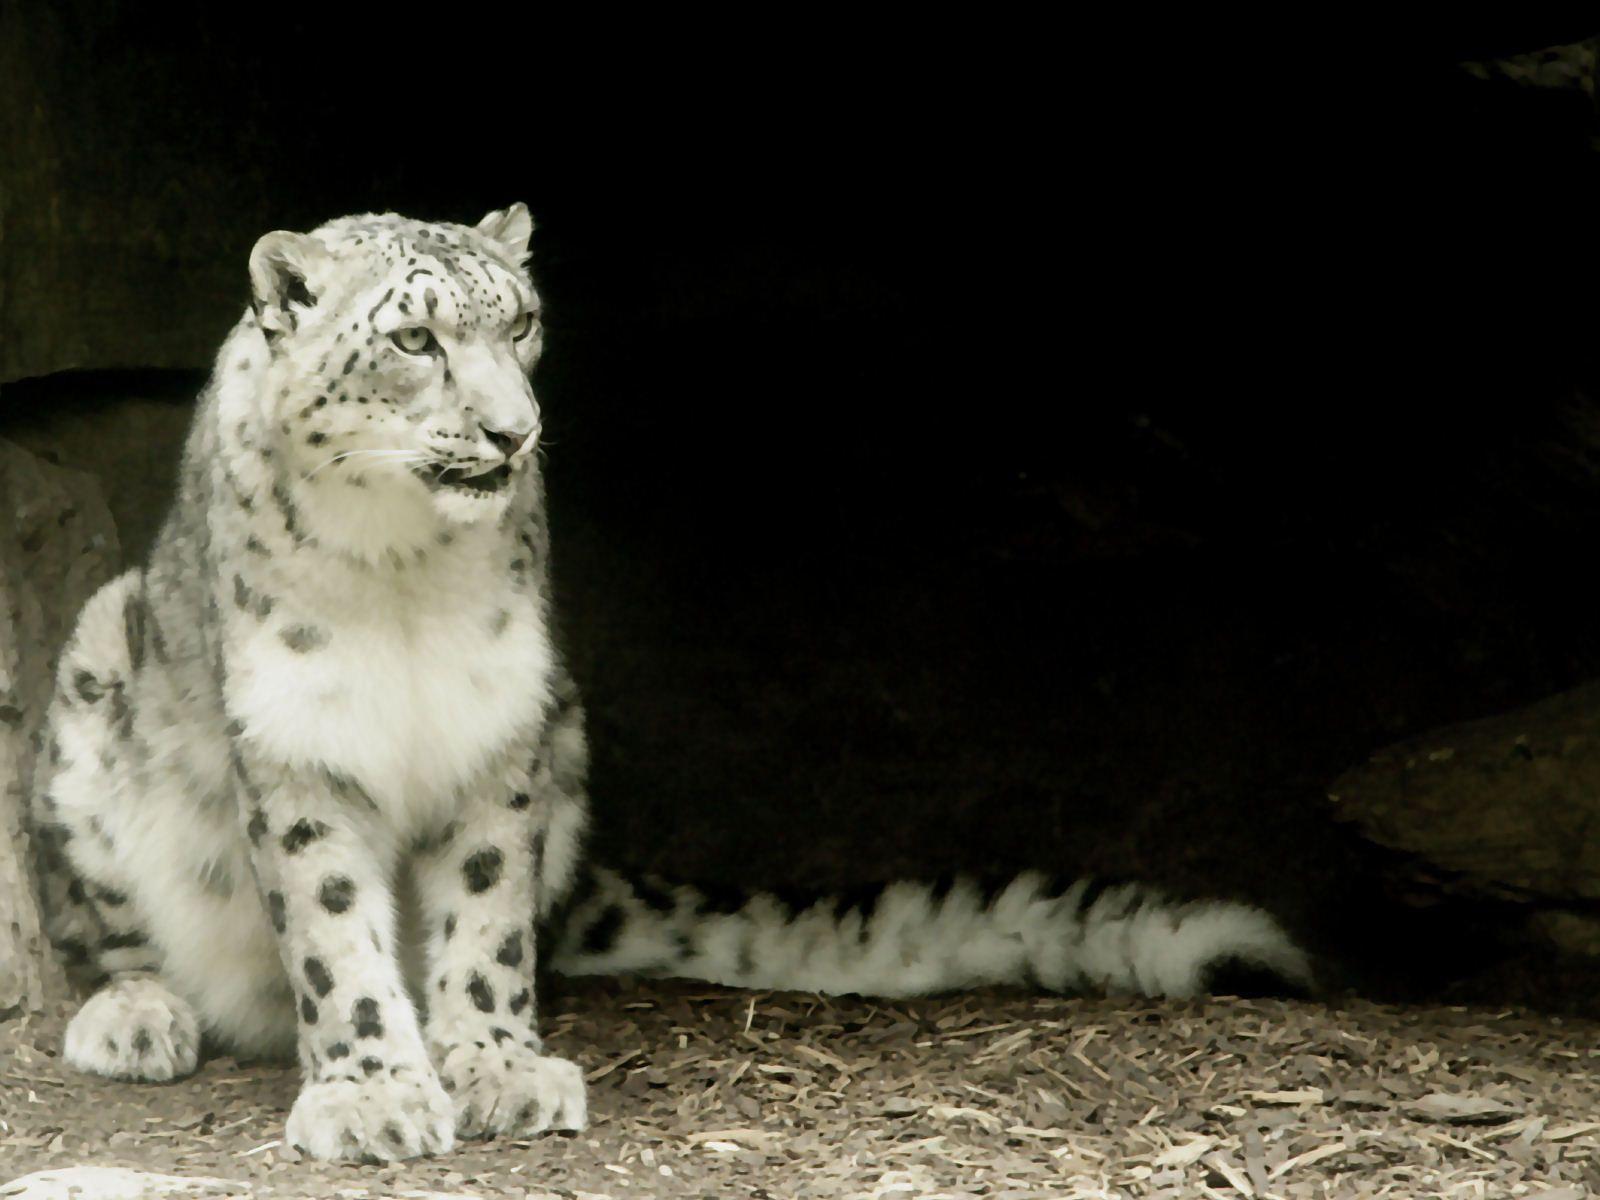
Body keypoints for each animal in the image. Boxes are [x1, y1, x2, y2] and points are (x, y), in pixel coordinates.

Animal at [27, 205, 1312, 1163]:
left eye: (523, 323)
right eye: (414, 342)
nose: (511, 433)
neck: (400, 566)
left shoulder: (502, 723)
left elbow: (485, 913)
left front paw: (496, 1067)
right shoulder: (301, 738)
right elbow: (333, 928)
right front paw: (375, 1093)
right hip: (93, 675)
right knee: (100, 925)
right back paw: (134, 1015)